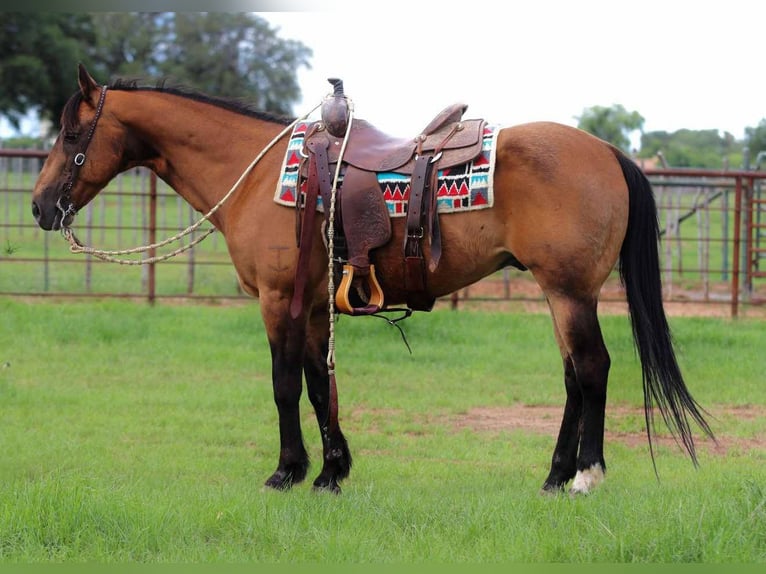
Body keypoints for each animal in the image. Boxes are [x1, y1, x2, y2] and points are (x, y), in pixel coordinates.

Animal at [31, 65, 713, 495]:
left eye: (71, 133)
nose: (40, 207)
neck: (259, 175)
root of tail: (608, 152)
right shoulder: (311, 305)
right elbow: (317, 386)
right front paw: (332, 471)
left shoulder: (278, 301)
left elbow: (283, 386)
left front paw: (287, 471)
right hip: (560, 295)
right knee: (574, 376)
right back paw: (553, 475)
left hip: (569, 292)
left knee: (592, 369)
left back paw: (585, 475)